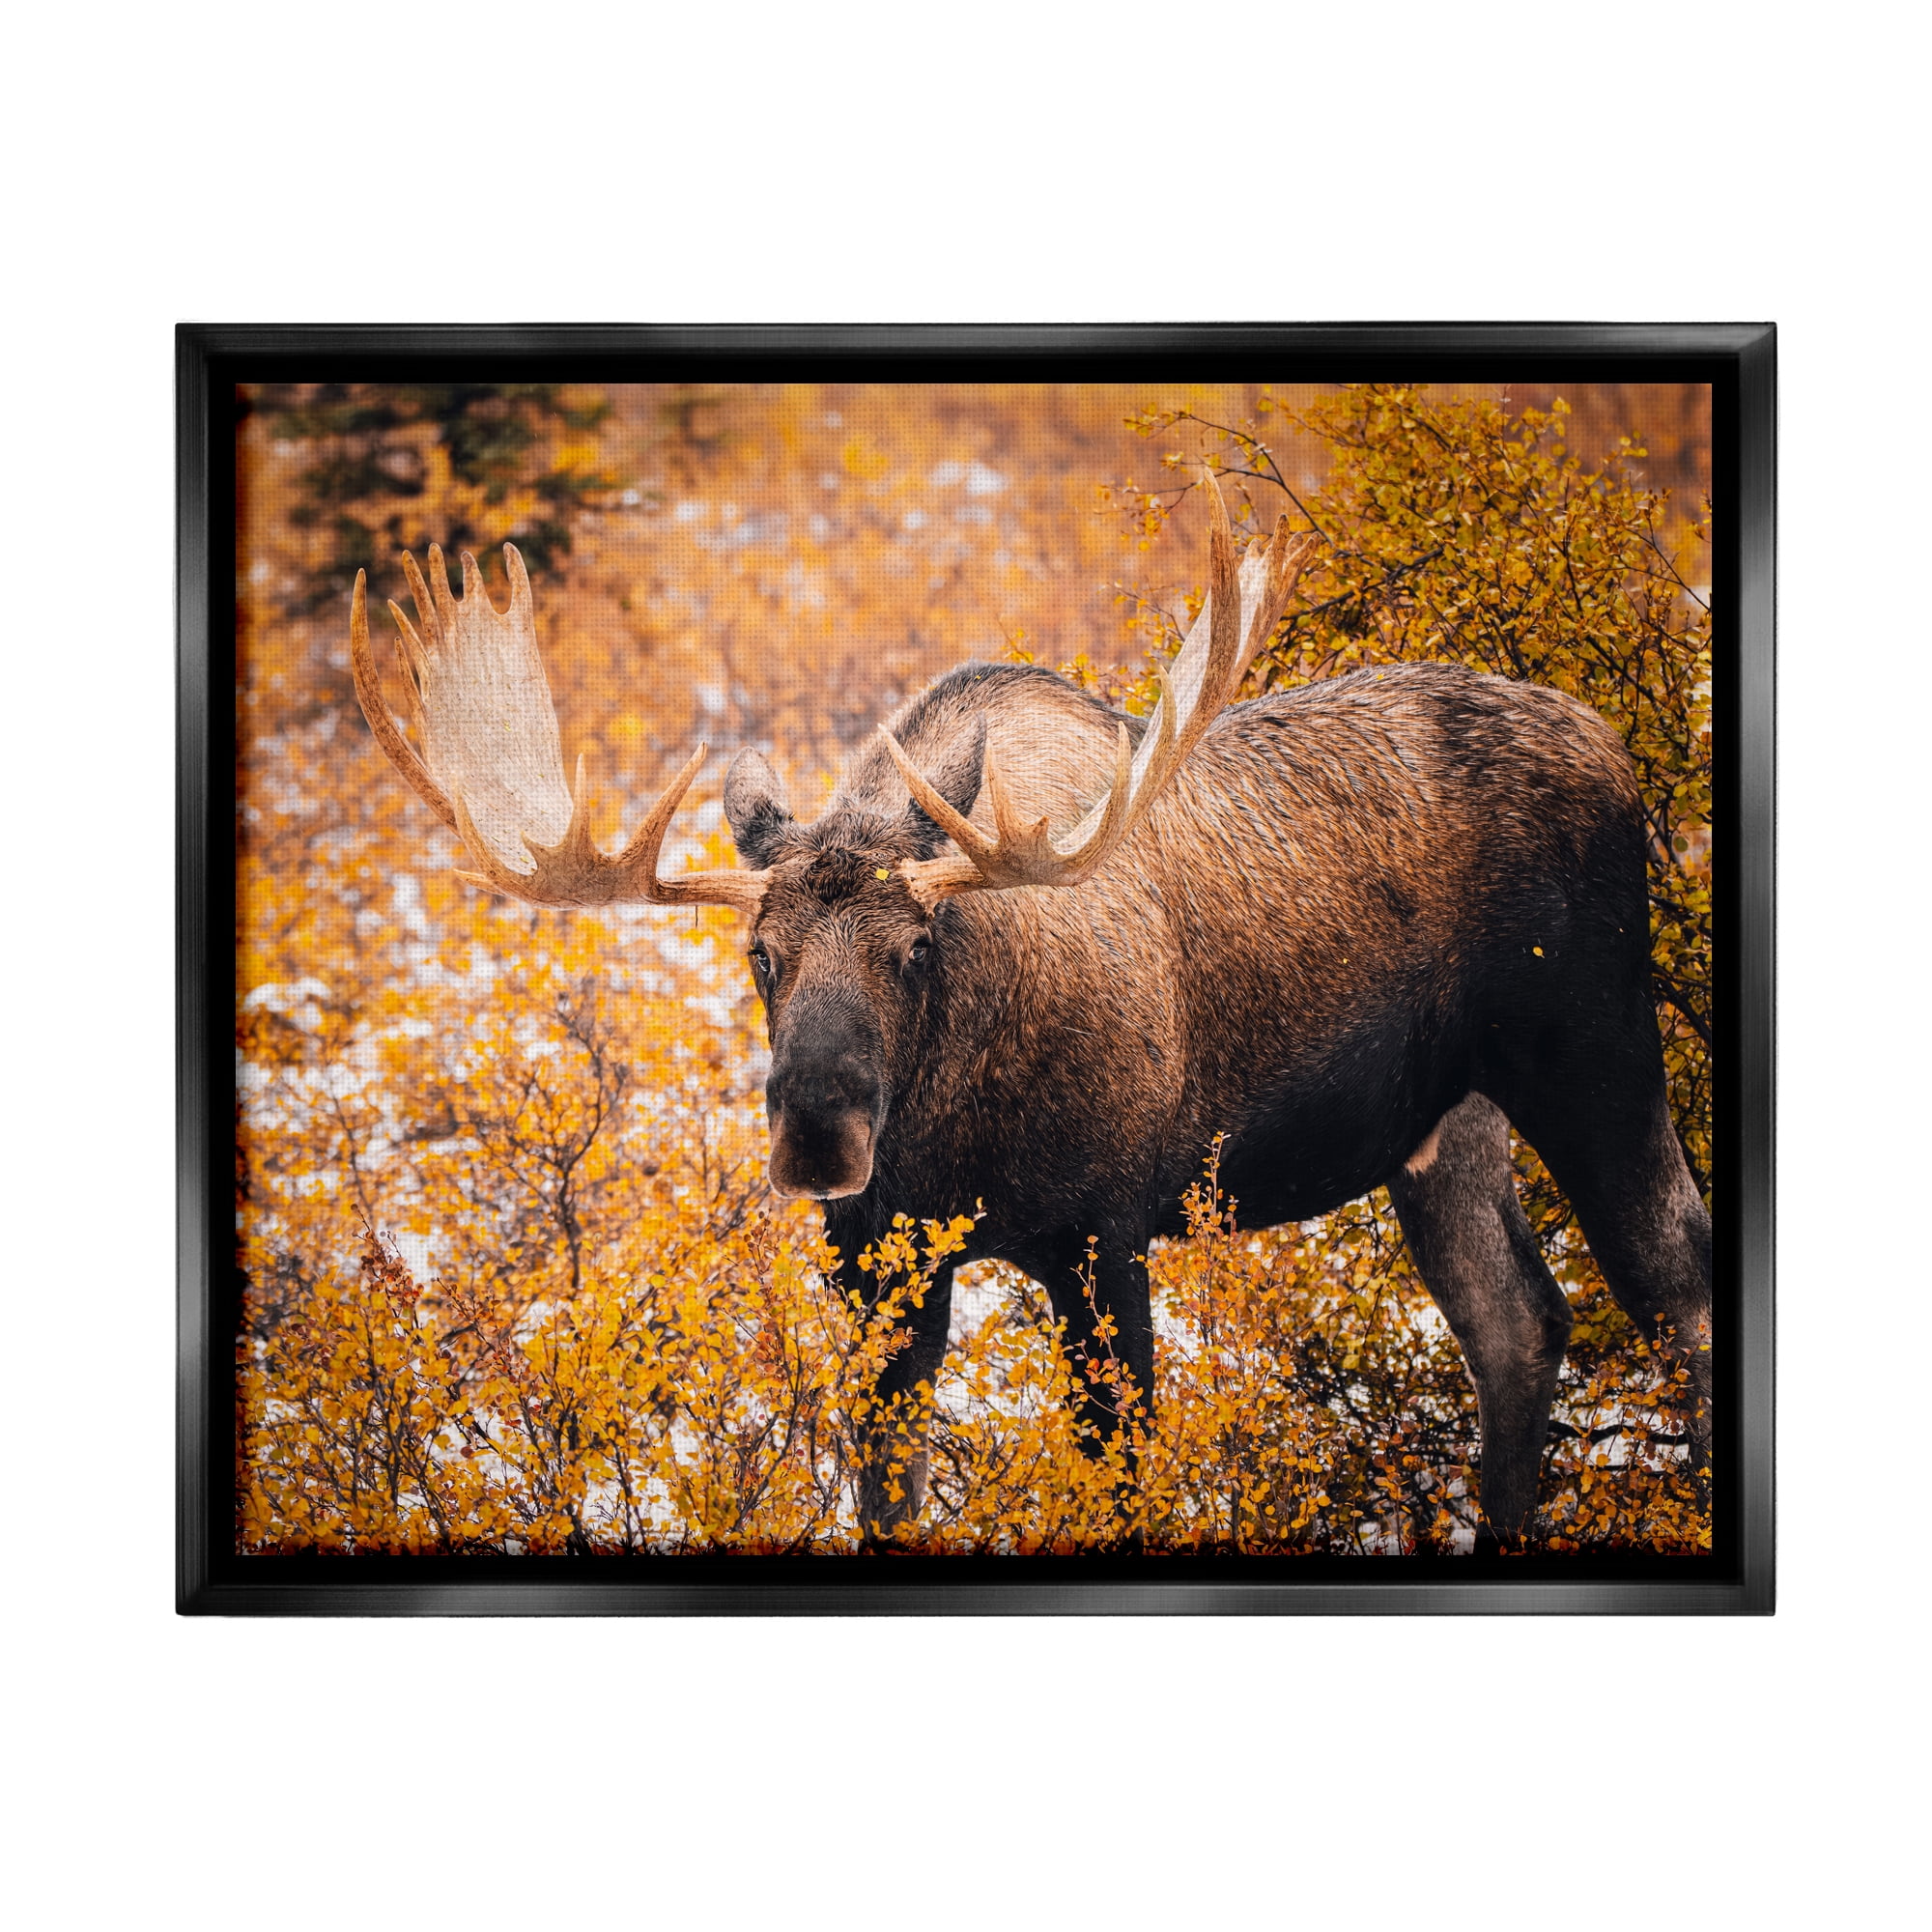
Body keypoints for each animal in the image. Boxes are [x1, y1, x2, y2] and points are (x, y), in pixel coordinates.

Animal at [350, 472, 1712, 1551]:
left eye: (914, 947)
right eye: (758, 953)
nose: (818, 1135)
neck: (952, 1139)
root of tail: (1615, 745)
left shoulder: (1106, 1234)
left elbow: (1120, 1476)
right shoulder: (871, 1267)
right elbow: (884, 1494)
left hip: (1592, 1044)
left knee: (1675, 1279)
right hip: (1439, 1124)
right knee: (1517, 1322)